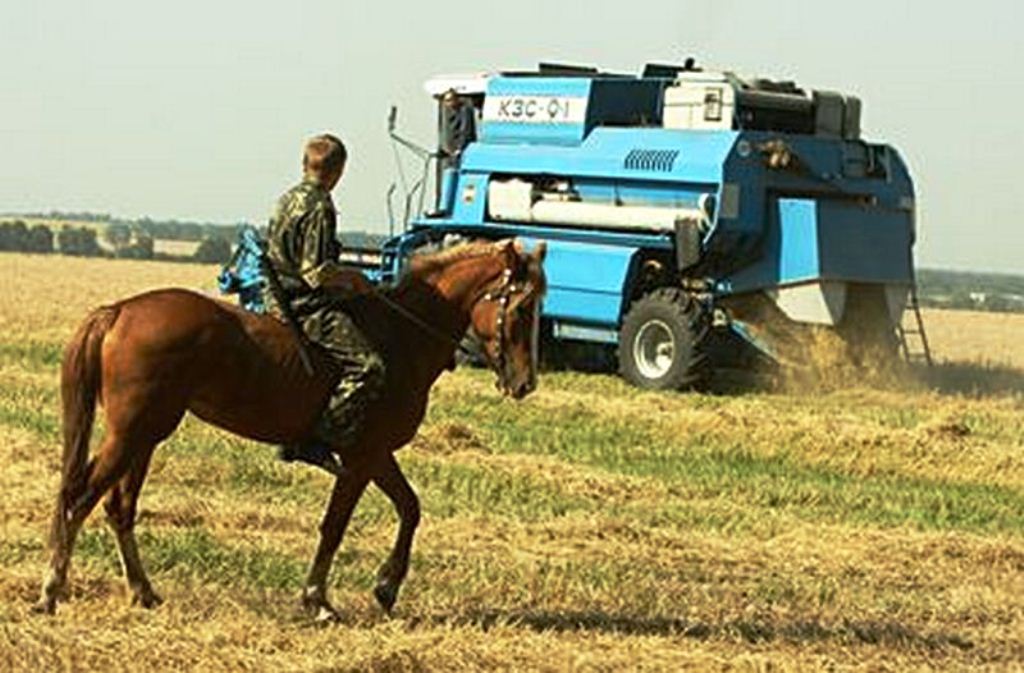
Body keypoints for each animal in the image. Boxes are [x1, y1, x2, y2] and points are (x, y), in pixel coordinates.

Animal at [34, 237, 544, 618]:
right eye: (521, 310)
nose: (525, 383)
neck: (404, 338)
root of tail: (119, 311)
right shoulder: (361, 457)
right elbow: (335, 526)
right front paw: (318, 599)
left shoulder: (376, 454)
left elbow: (410, 508)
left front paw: (387, 587)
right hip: (132, 435)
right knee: (79, 497)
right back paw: (51, 589)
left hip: (144, 437)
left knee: (117, 506)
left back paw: (142, 591)